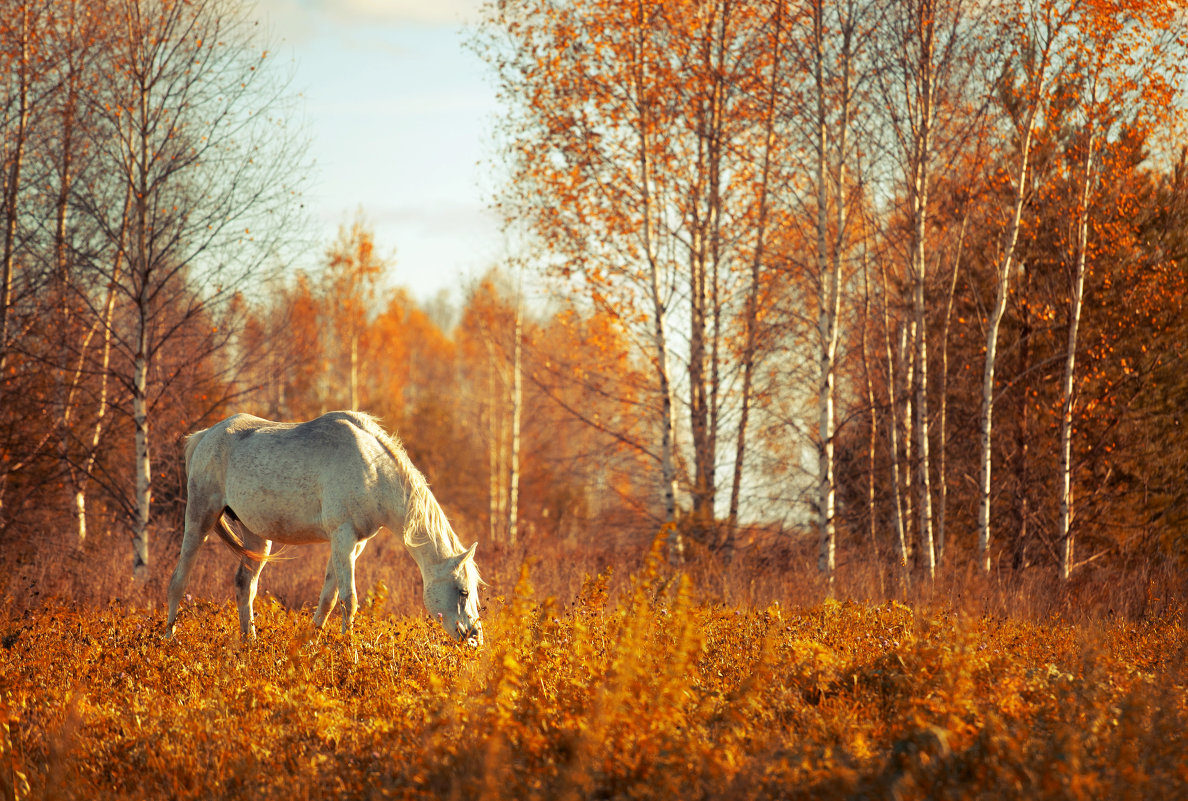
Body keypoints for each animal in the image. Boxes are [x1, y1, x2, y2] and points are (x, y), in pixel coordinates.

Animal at [165, 411, 484, 641]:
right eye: (463, 591)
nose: (474, 639)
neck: (373, 469)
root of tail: (204, 436)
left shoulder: (353, 544)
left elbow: (328, 599)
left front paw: (310, 645)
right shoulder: (343, 536)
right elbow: (349, 600)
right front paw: (348, 652)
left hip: (256, 536)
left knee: (245, 586)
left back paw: (249, 643)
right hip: (200, 518)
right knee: (178, 581)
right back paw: (170, 639)